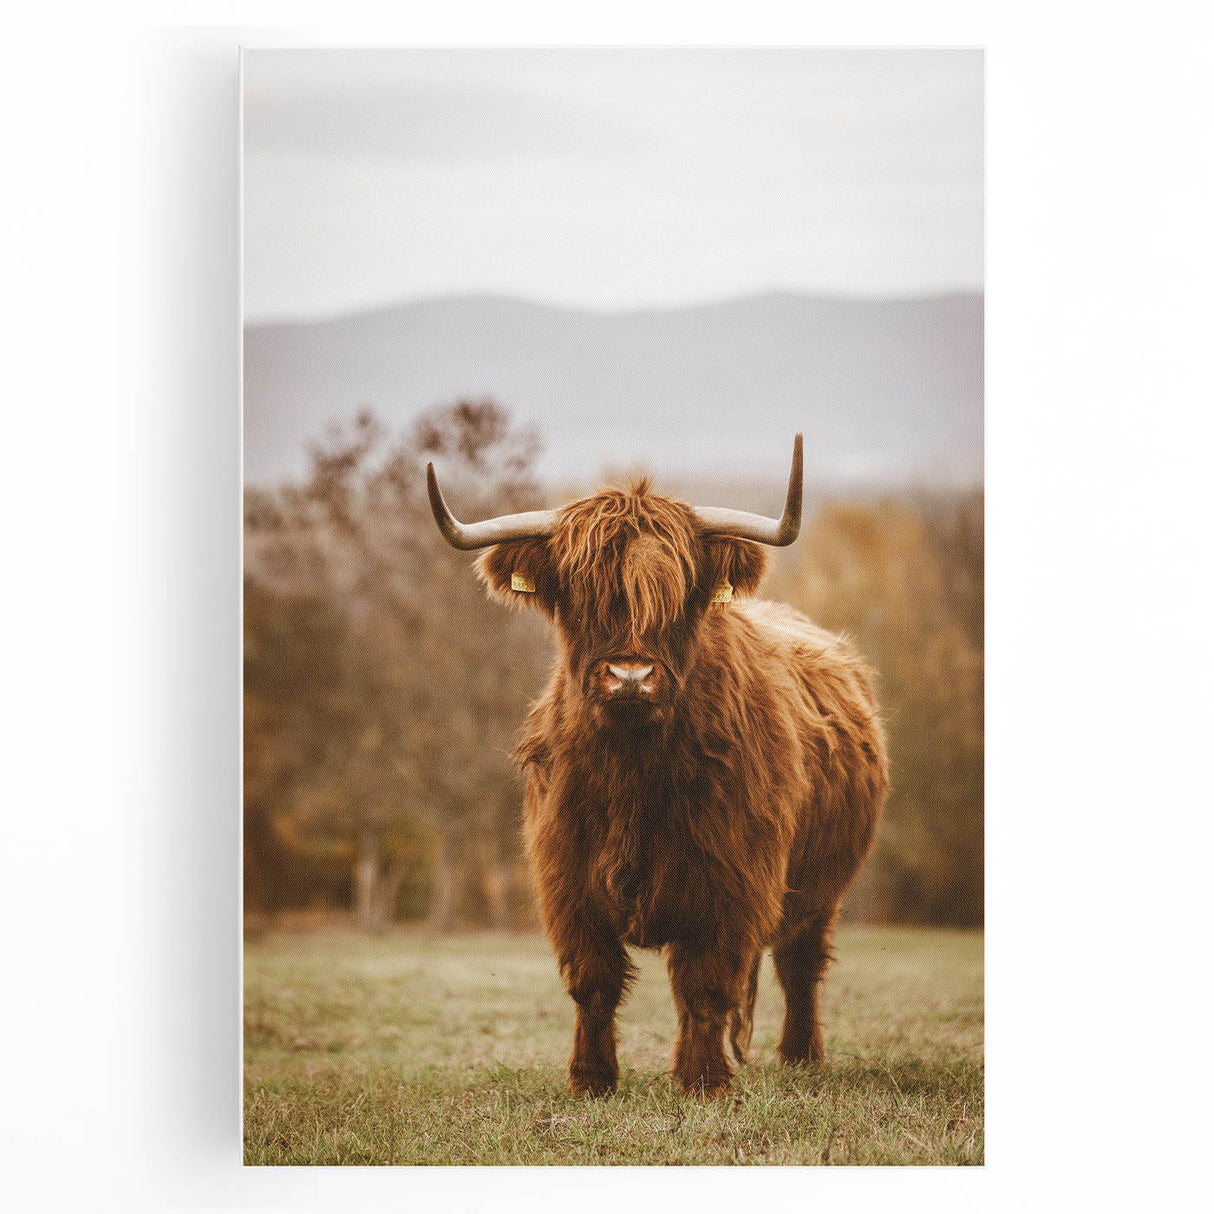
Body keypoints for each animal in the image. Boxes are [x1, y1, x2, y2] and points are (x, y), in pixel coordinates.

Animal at [426, 435, 888, 1097]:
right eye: (578, 594)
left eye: (681, 595)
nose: (630, 677)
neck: (633, 770)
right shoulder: (568, 878)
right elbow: (594, 982)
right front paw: (591, 1080)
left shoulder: (730, 880)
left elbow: (707, 981)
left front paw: (704, 1082)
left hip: (821, 885)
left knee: (799, 962)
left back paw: (801, 1057)